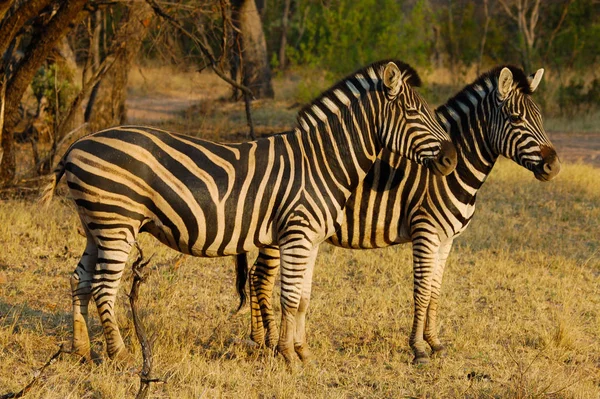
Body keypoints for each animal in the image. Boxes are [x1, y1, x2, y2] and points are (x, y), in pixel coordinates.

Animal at [39, 60, 458, 366]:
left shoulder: (312, 240)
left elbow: (304, 299)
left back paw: (81, 350)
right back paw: (121, 355)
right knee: (103, 287)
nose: (452, 160)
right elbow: (289, 297)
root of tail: (76, 146)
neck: (323, 162)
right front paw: (287, 356)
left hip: (95, 224)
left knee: (79, 279)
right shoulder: (297, 234)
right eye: (413, 113)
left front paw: (302, 352)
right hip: (116, 223)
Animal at [239, 65, 564, 366]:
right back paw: (268, 342)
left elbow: (435, 292)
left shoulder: (446, 240)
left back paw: (259, 340)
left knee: (256, 276)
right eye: (516, 118)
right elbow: (421, 292)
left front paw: (435, 343)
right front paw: (419, 350)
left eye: (539, 118)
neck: (453, 175)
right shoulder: (425, 232)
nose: (555, 167)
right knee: (261, 277)